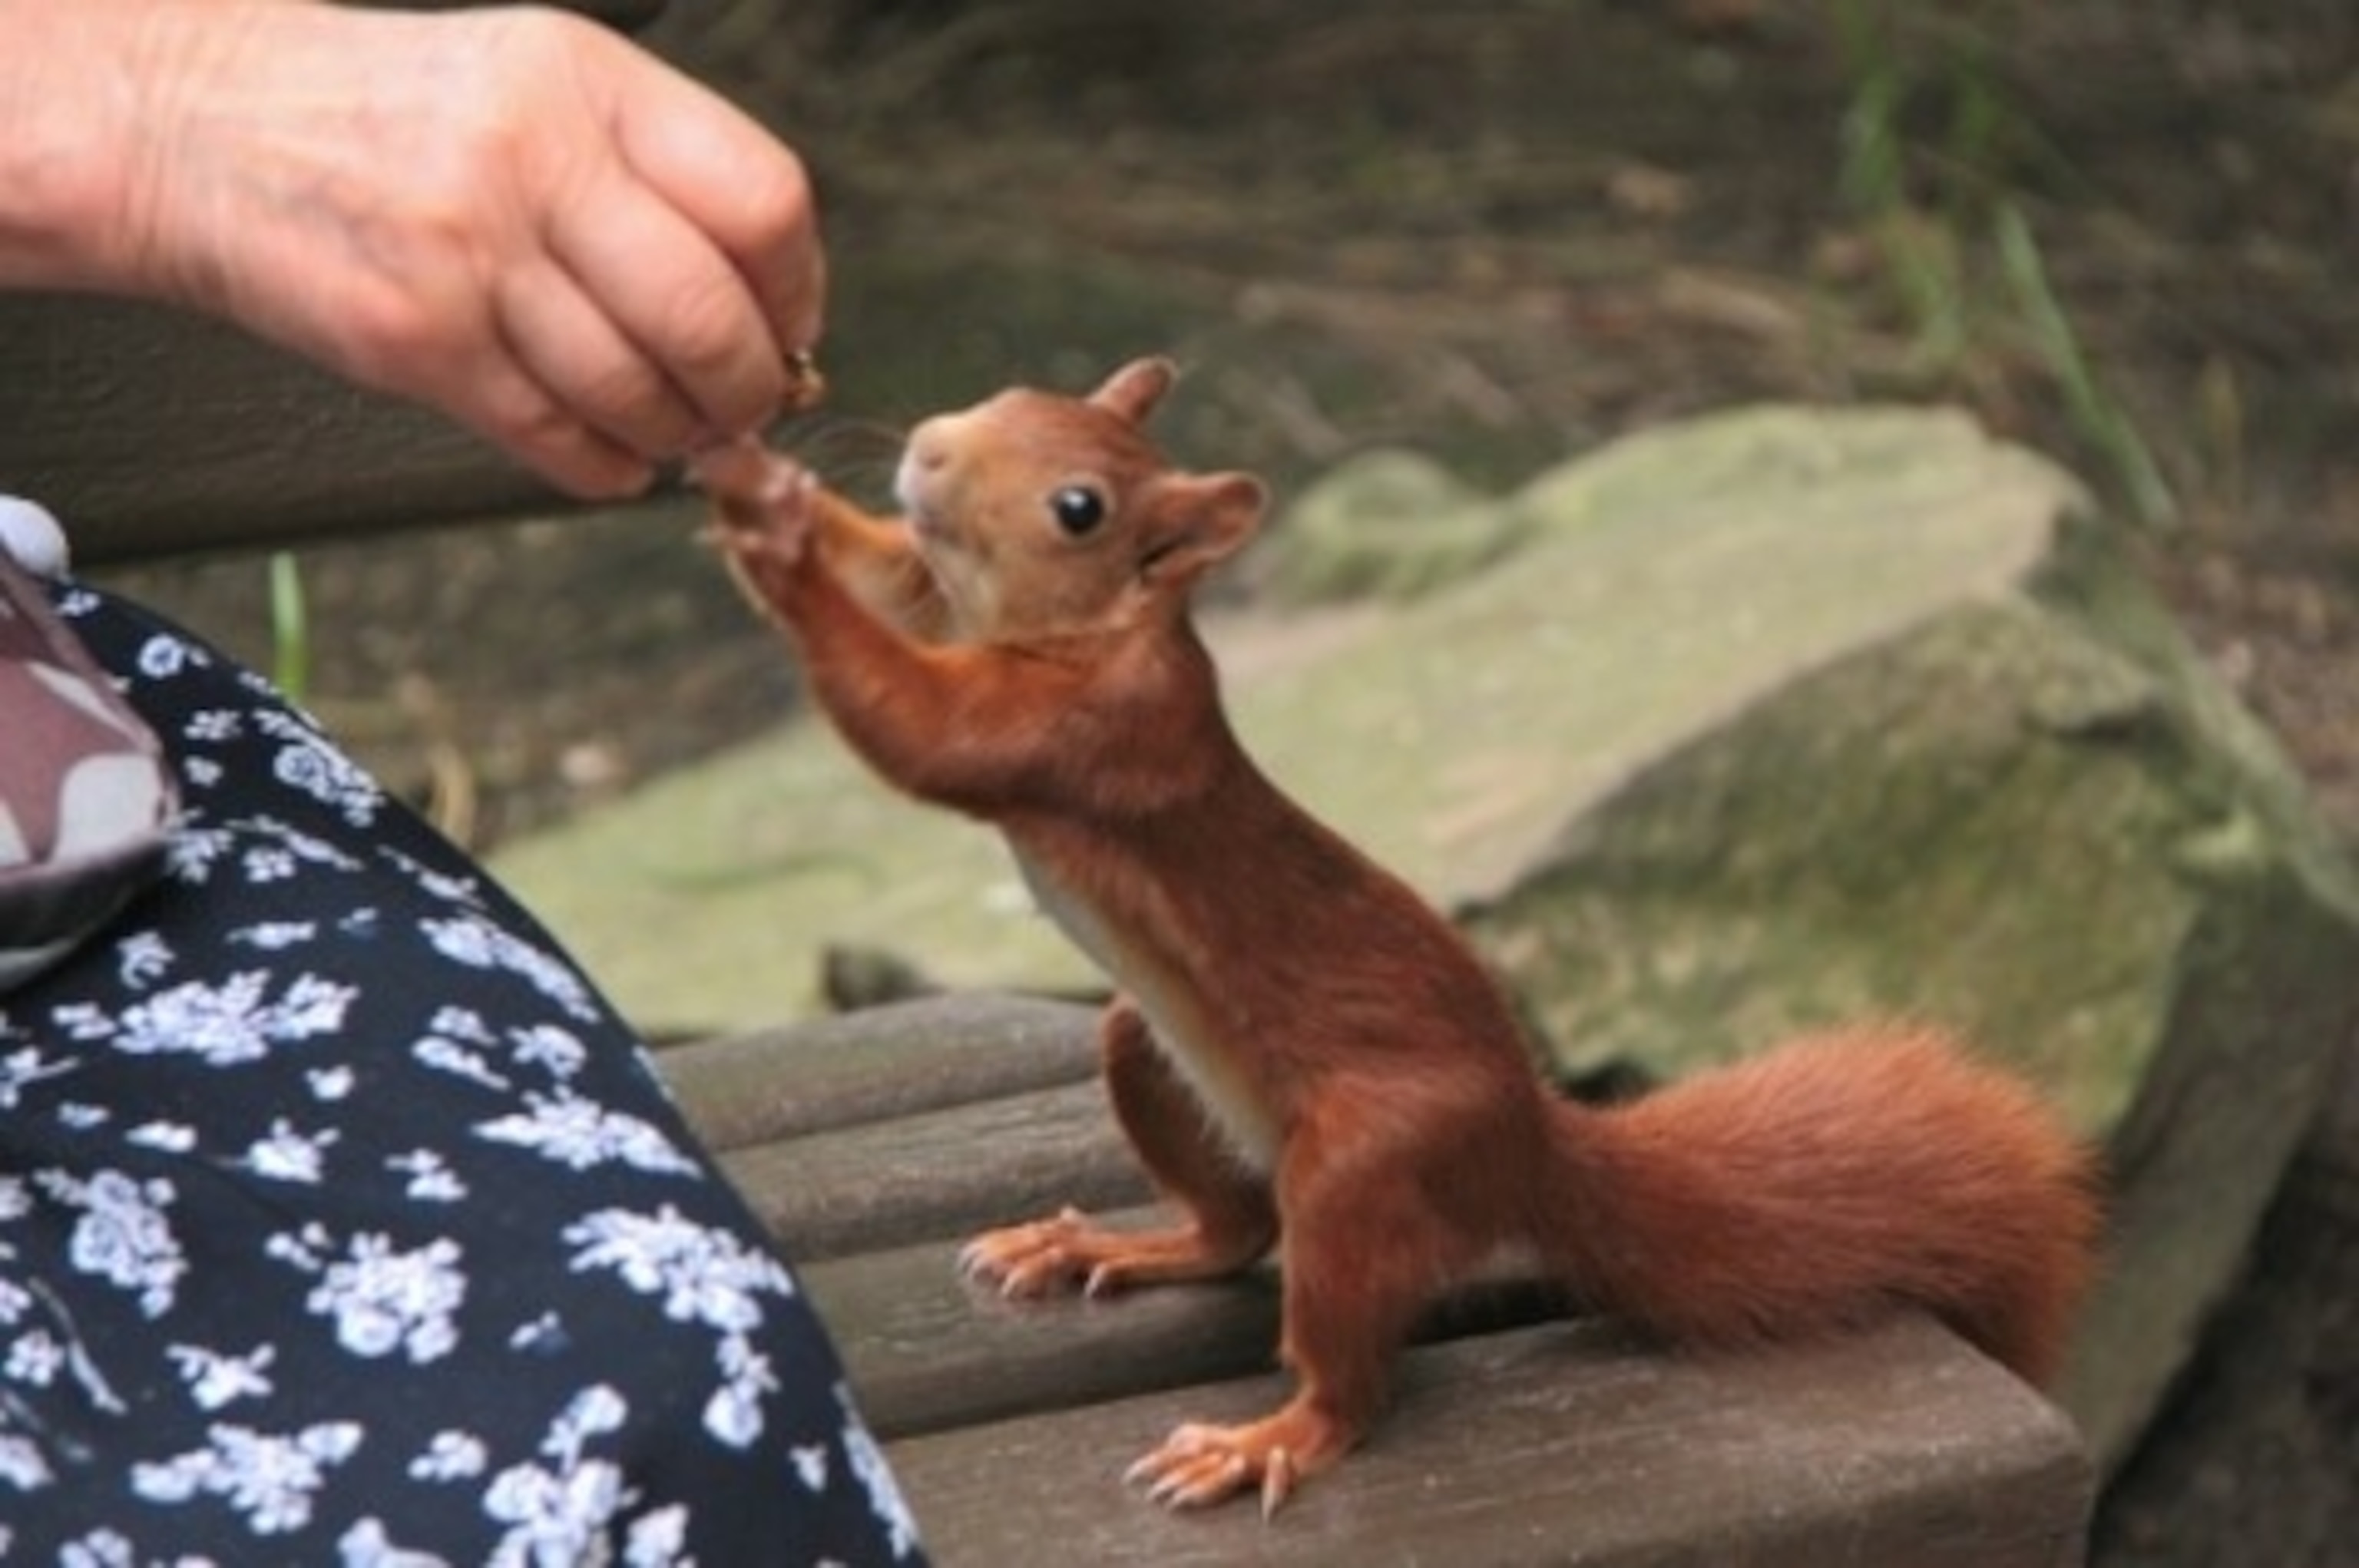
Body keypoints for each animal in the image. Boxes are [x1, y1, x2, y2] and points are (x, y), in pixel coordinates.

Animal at [695, 358, 2102, 1517]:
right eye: (1006, 396)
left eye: (1079, 508)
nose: (930, 448)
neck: (1105, 629)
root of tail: (1529, 1146)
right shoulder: (950, 608)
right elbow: (893, 578)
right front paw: (756, 473)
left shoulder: (1089, 734)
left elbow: (917, 726)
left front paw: (778, 540)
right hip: (1151, 1052)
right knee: (1230, 1231)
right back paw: (1105, 1240)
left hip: (1365, 1168)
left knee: (1345, 1368)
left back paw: (1267, 1440)